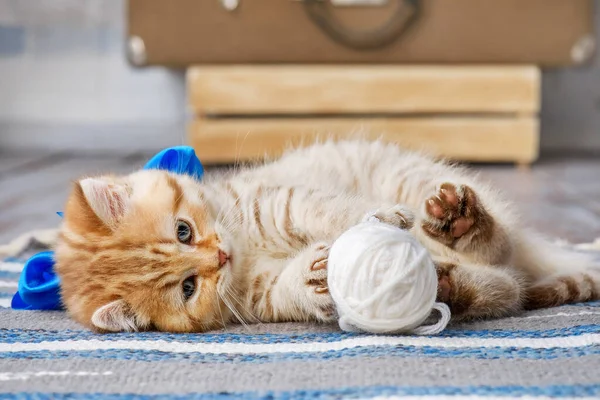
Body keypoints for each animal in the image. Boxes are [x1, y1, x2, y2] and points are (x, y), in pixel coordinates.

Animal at [54, 139, 596, 332]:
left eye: (183, 230)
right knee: (504, 288)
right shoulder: (256, 297)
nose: (220, 256)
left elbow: (335, 211)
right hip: (492, 280)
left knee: (499, 247)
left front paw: (380, 219)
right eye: (188, 287)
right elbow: (282, 291)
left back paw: (458, 222)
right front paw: (311, 280)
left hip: (412, 176)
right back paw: (450, 286)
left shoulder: (278, 201)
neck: (247, 248)